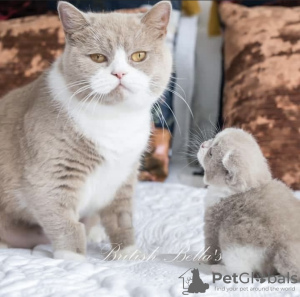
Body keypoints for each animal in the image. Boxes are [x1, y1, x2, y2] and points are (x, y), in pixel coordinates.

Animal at [0, 0, 172, 260]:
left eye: (139, 55)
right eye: (98, 57)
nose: (119, 73)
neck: (115, 120)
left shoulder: (124, 175)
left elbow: (121, 218)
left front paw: (128, 252)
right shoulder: (51, 175)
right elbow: (65, 222)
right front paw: (73, 259)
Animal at [197, 126, 300, 278]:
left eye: (210, 154)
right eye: (213, 138)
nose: (203, 144)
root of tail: (284, 245)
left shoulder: (212, 221)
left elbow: (211, 248)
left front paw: (204, 262)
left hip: (233, 242)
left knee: (243, 273)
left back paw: (218, 269)